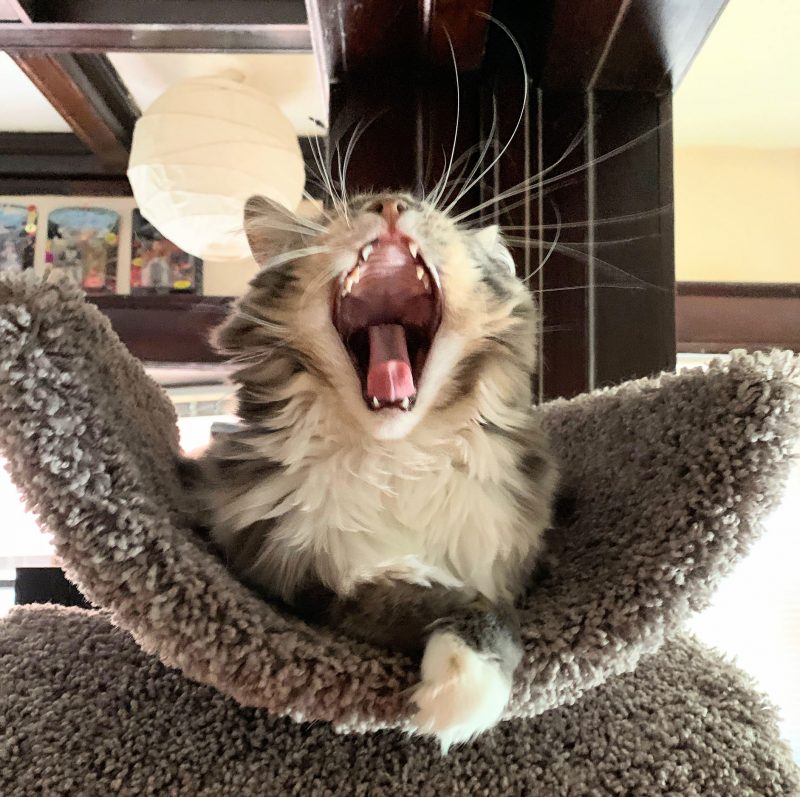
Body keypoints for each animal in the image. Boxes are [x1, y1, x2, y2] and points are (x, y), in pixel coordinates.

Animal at [197, 190, 556, 748]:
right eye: (336, 213)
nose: (390, 203)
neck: (395, 456)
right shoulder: (297, 579)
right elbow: (424, 595)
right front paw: (462, 687)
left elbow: (491, 607)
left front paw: (465, 684)